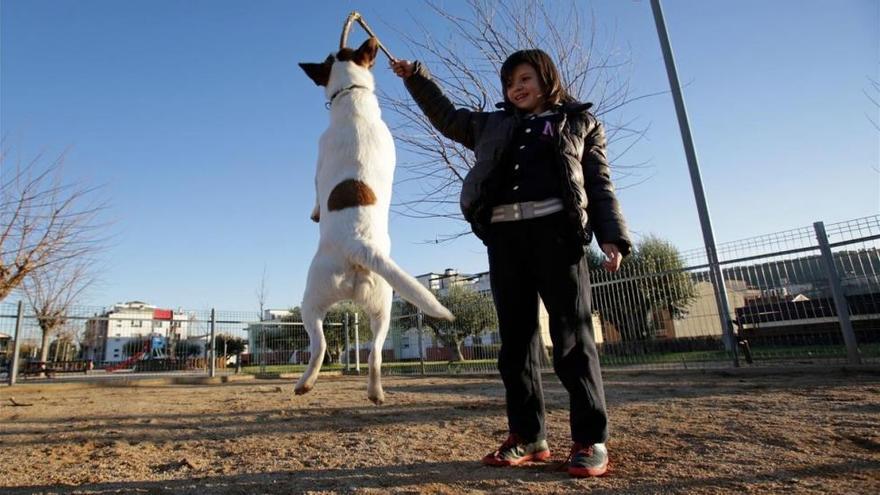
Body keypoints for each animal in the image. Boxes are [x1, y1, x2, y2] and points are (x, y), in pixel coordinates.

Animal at [300, 37, 454, 404]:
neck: (353, 99)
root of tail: (360, 246)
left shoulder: (317, 164)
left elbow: (315, 192)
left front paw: (315, 212)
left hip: (311, 301)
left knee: (320, 345)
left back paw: (305, 384)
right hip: (383, 307)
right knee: (375, 356)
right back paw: (376, 391)